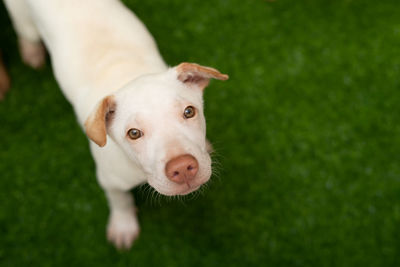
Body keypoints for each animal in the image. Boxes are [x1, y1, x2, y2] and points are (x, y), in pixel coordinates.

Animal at [3, 0, 228, 251]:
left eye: (189, 112)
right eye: (134, 133)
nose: (182, 168)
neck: (128, 76)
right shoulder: (109, 180)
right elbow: (120, 201)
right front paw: (123, 225)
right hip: (22, 17)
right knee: (26, 33)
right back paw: (31, 52)